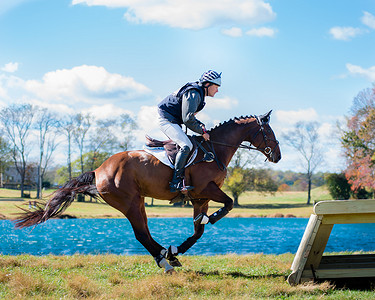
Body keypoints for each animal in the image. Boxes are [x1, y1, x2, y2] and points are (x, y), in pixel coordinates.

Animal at [13, 110, 280, 274]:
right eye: (269, 133)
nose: (278, 156)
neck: (214, 149)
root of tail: (99, 169)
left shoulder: (200, 198)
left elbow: (198, 232)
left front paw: (177, 249)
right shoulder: (206, 189)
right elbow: (229, 203)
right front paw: (211, 218)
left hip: (138, 201)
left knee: (146, 232)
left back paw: (165, 254)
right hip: (128, 202)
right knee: (141, 234)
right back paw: (164, 262)